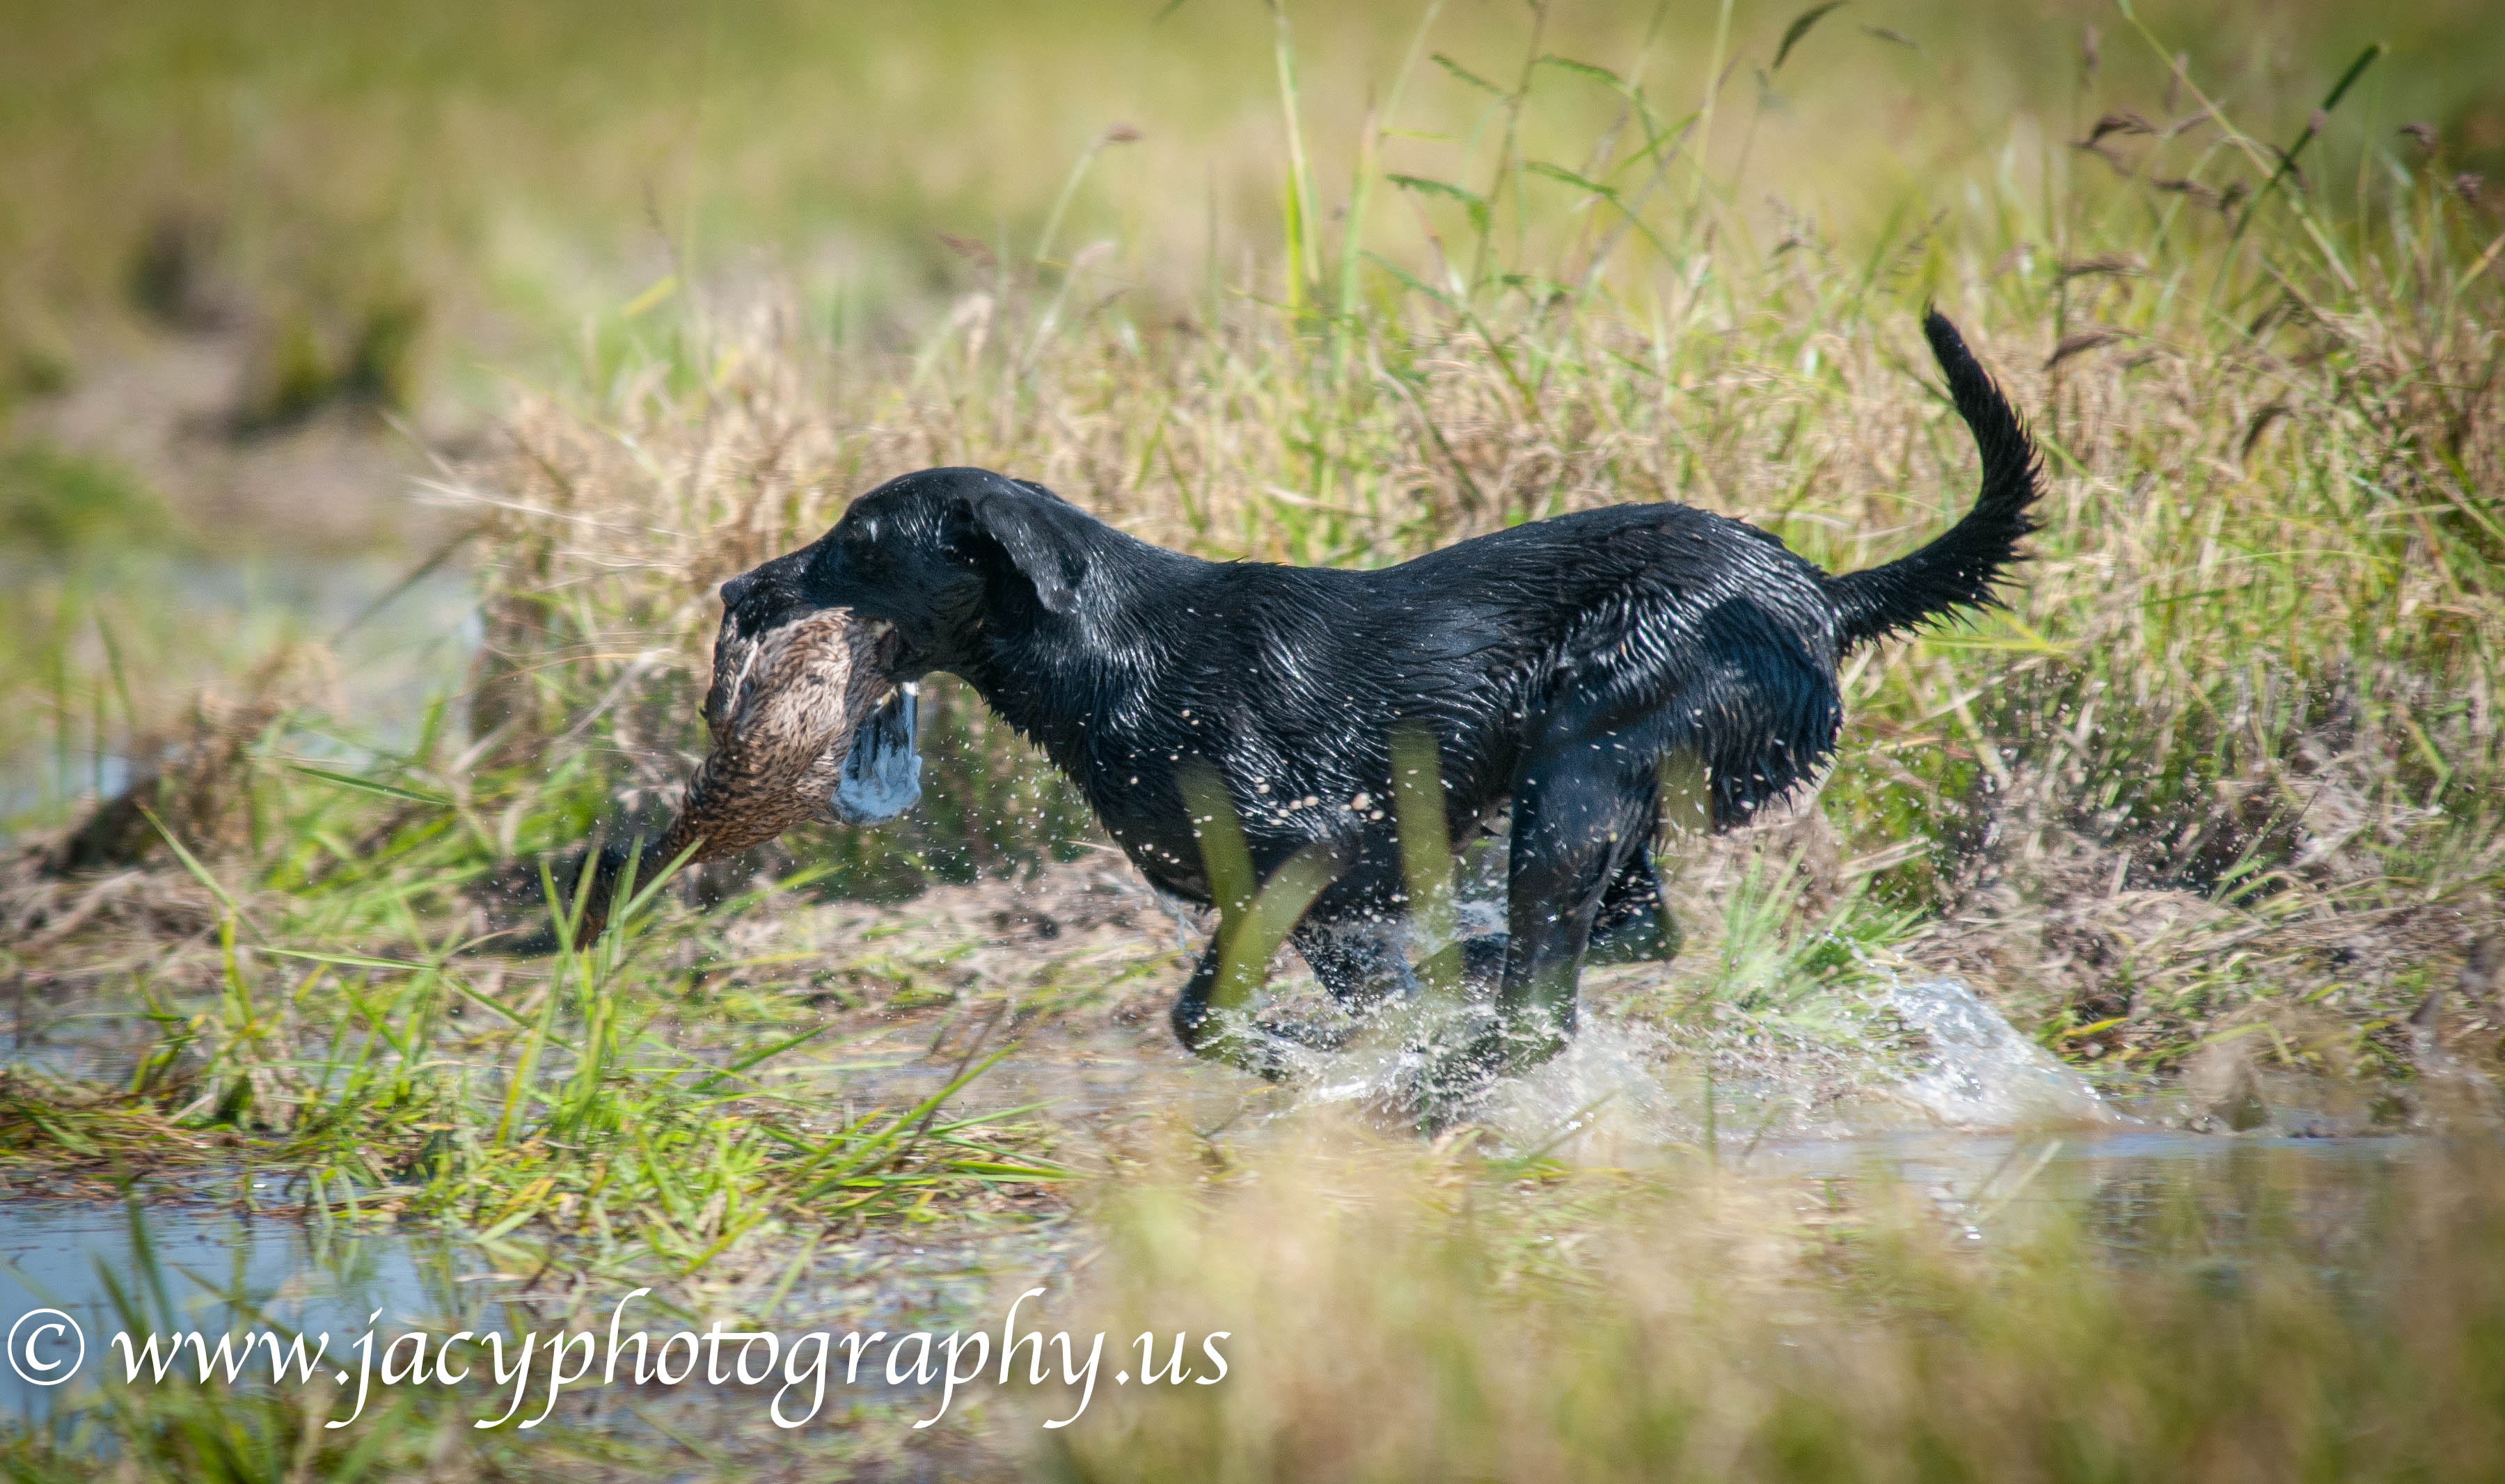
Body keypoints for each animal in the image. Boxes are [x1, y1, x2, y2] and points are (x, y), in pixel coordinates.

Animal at [711, 309, 2034, 1078]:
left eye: (858, 540)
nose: (737, 585)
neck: (1110, 648)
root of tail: (1816, 590)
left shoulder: (1309, 847)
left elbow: (1201, 1014)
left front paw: (1299, 1061)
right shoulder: (1341, 900)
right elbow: (1351, 989)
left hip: (1578, 762)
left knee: (1546, 1008)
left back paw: (1461, 1061)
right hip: (1605, 790)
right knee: (1632, 932)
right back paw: (1475, 974)